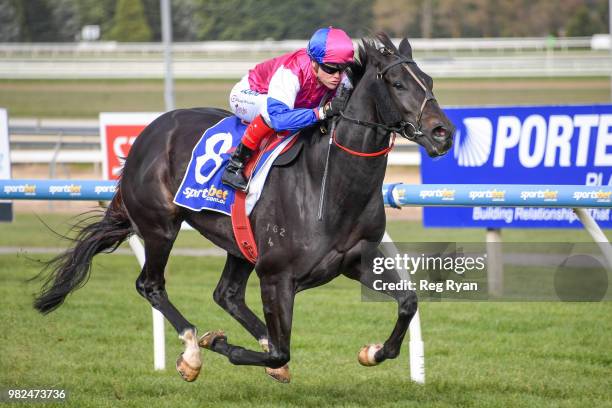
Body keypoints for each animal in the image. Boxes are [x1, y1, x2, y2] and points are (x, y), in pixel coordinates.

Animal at [33, 33, 454, 384]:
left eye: (430, 82)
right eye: (398, 84)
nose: (443, 133)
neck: (327, 185)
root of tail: (148, 133)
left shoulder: (354, 261)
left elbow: (408, 303)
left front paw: (373, 351)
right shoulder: (276, 277)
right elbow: (281, 350)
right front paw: (216, 344)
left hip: (238, 241)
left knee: (227, 294)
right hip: (159, 227)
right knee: (151, 285)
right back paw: (192, 351)